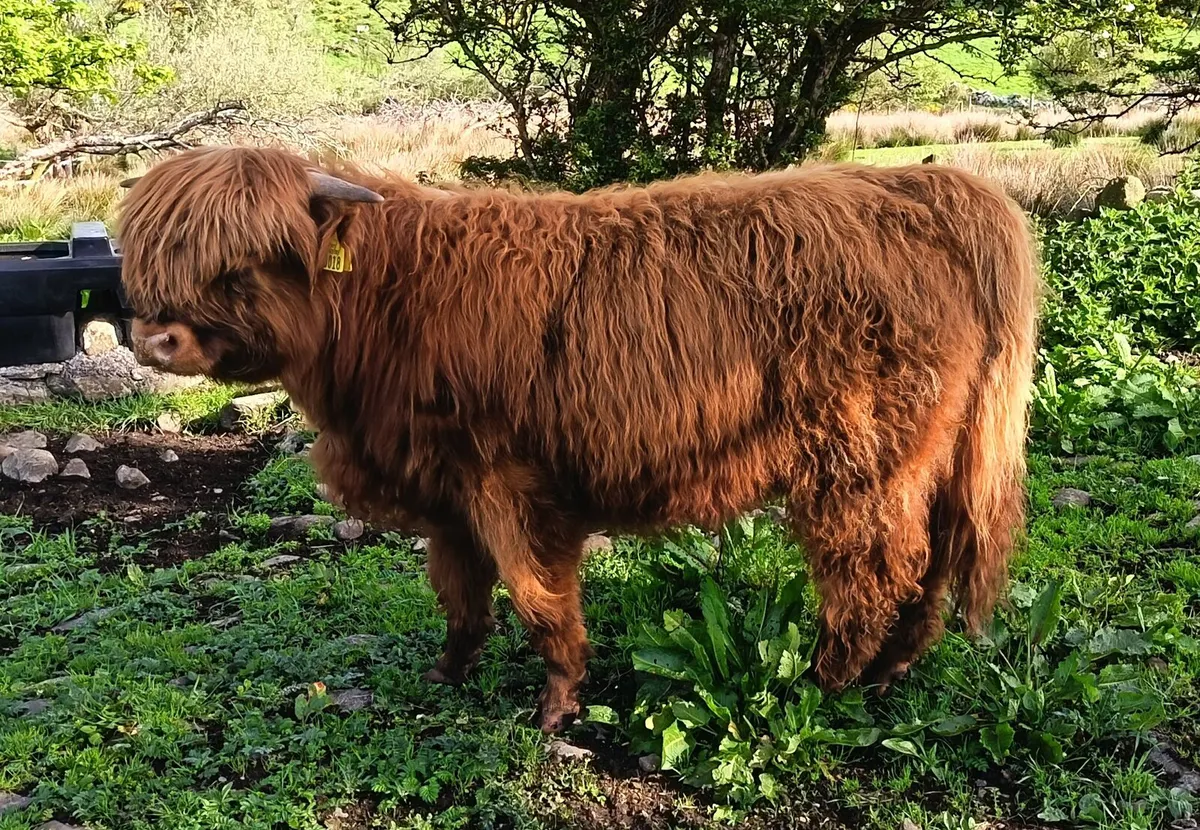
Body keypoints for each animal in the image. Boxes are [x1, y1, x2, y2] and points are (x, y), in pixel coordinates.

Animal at [117, 146, 1039, 733]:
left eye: (246, 260)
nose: (156, 337)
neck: (384, 306)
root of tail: (925, 191)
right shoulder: (446, 489)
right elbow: (459, 592)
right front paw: (448, 673)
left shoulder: (510, 482)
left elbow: (537, 598)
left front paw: (557, 705)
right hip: (934, 456)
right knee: (936, 559)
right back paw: (891, 673)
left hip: (860, 461)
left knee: (876, 567)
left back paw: (826, 681)